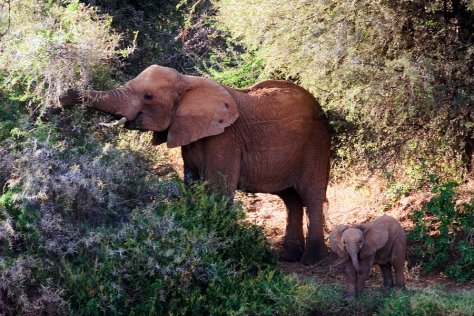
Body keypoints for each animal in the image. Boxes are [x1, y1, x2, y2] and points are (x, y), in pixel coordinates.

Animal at [59, 64, 332, 264]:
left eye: (148, 96)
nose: (64, 94)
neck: (188, 82)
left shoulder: (225, 138)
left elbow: (217, 191)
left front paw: (215, 251)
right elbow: (191, 184)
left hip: (316, 145)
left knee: (311, 196)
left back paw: (312, 260)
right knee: (291, 199)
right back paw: (288, 257)